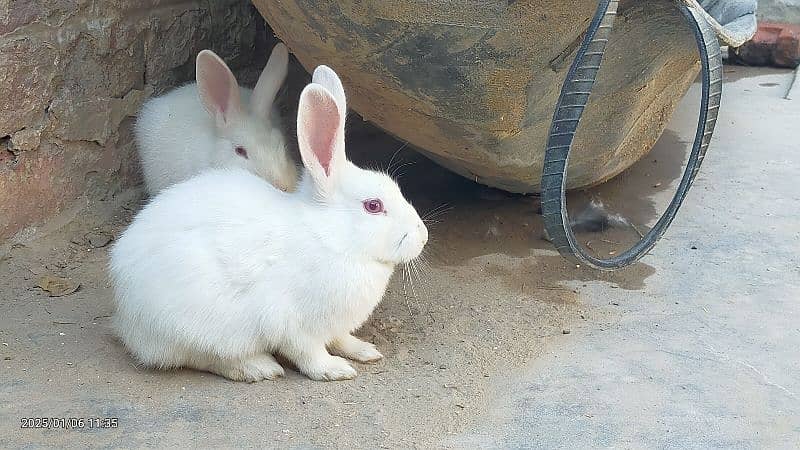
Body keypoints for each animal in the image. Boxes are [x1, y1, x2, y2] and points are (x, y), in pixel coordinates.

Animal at [111, 66, 432, 384]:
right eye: (373, 206)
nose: (423, 236)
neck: (332, 238)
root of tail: (125, 315)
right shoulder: (293, 323)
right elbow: (308, 353)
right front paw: (334, 370)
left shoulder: (333, 325)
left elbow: (340, 338)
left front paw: (364, 350)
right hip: (193, 326)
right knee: (205, 358)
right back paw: (259, 367)